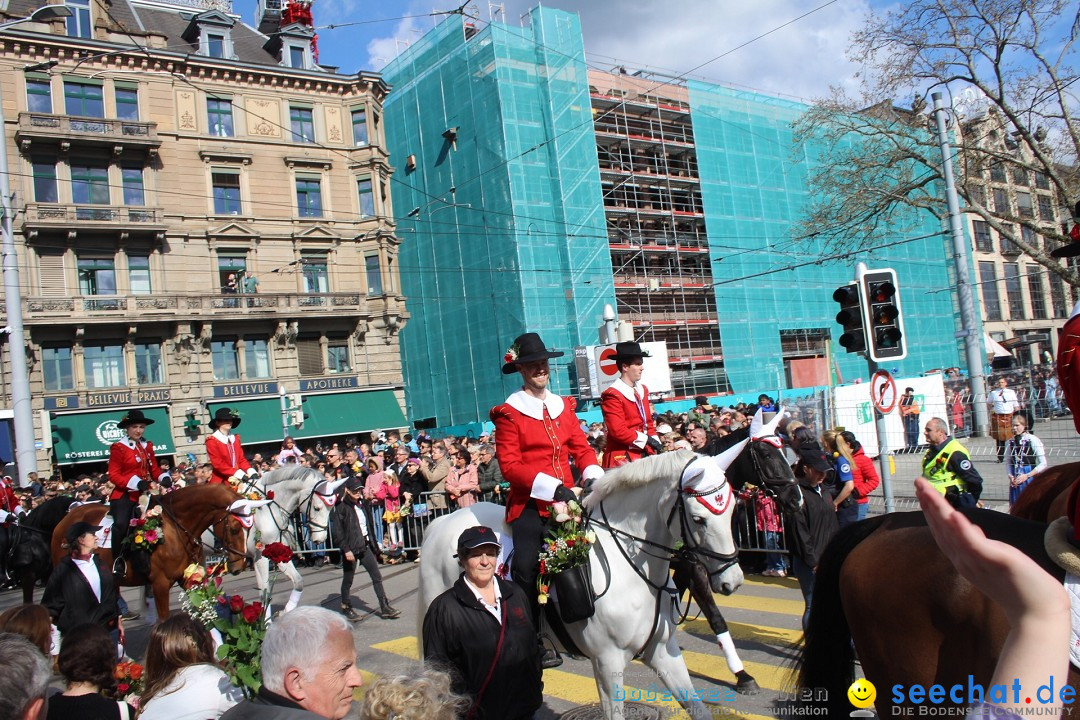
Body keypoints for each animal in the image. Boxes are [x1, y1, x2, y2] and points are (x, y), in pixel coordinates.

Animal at [50, 483, 247, 621]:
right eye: (235, 529)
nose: (239, 566)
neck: (175, 528)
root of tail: (65, 518)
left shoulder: (189, 578)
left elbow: (204, 611)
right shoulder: (160, 584)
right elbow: (164, 620)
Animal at [416, 444, 747, 720]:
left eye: (732, 509)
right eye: (699, 518)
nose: (732, 581)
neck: (632, 573)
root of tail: (442, 521)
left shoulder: (663, 652)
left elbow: (697, 708)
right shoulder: (607, 662)